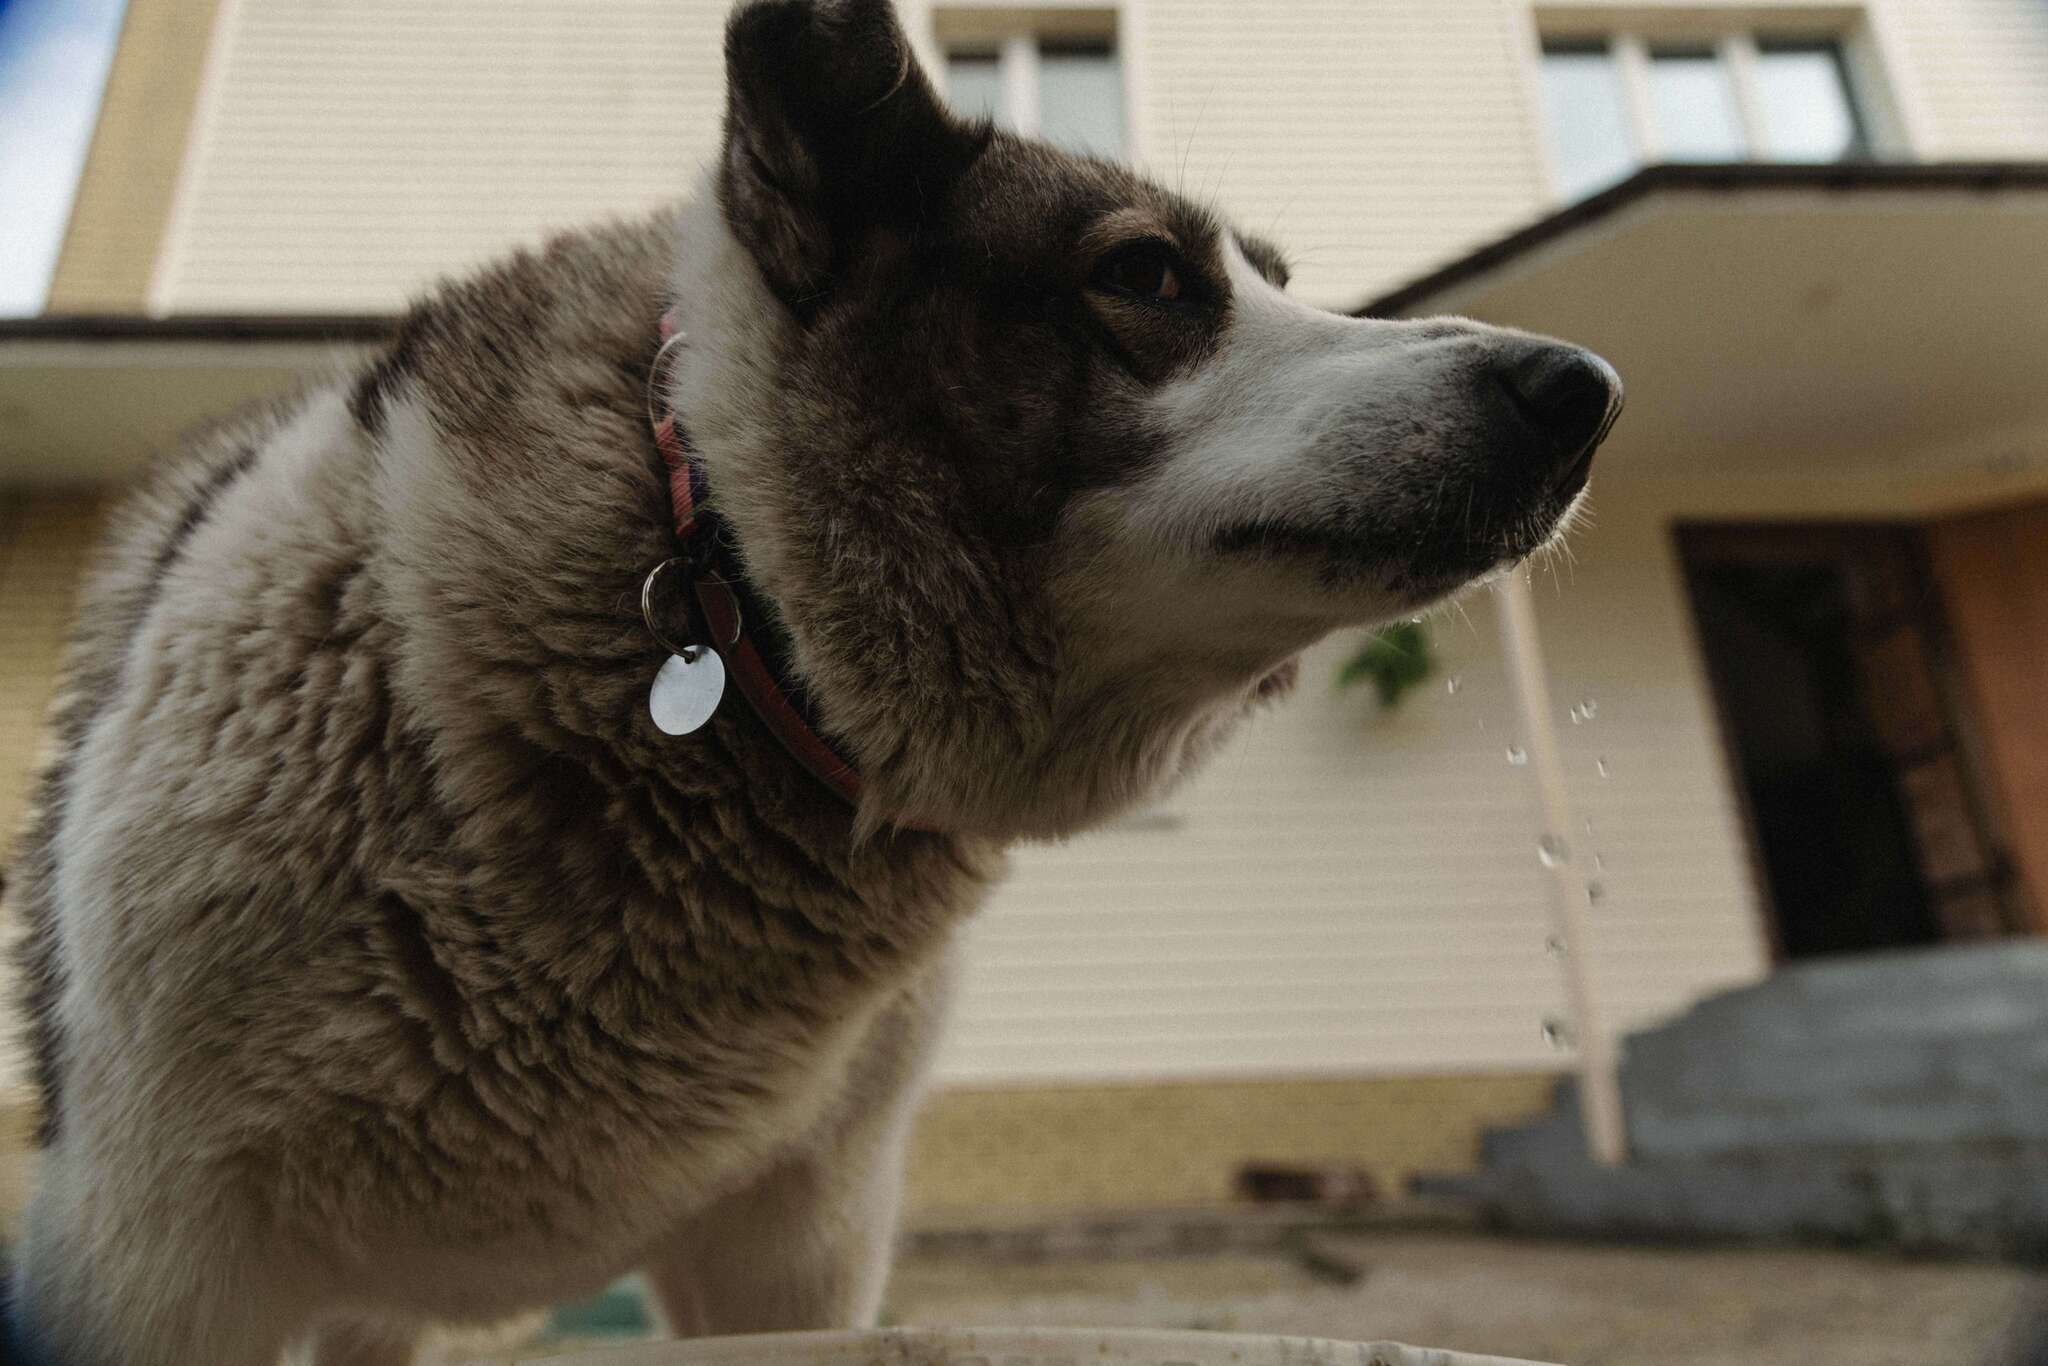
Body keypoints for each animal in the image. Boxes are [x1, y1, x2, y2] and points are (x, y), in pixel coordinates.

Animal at [2, 1, 1620, 1361]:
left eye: (1278, 284)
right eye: (1145, 274)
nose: (1582, 391)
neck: (717, 585)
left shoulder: (797, 1251)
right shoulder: (148, 1252)